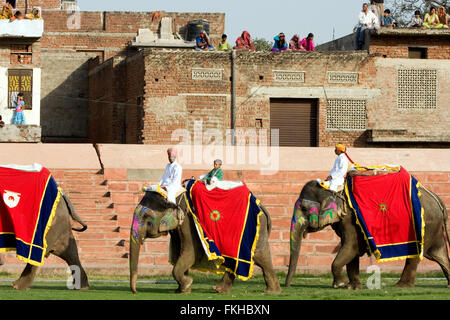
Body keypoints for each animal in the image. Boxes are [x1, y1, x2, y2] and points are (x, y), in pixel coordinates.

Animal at [127, 182, 282, 296]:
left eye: (147, 219)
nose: (135, 292)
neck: (173, 194)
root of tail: (261, 205)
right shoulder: (180, 226)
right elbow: (179, 253)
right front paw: (181, 290)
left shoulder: (188, 221)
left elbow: (190, 253)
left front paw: (187, 284)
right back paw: (220, 290)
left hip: (255, 230)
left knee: (260, 257)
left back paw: (270, 292)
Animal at [284, 180, 450, 290]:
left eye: (304, 208)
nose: (287, 286)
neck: (334, 189)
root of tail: (438, 199)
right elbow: (351, 252)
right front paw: (353, 287)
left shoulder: (350, 219)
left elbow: (350, 247)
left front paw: (339, 284)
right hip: (433, 228)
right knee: (437, 254)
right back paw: (447, 285)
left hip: (424, 225)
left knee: (416, 256)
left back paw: (401, 286)